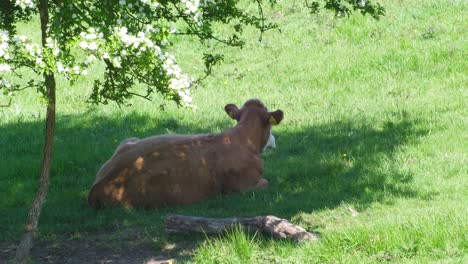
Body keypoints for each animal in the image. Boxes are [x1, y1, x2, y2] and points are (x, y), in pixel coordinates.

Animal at [89, 98, 284, 207]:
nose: (274, 142)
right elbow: (266, 182)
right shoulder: (242, 188)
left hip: (129, 140)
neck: (242, 139)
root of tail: (95, 189)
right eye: (270, 126)